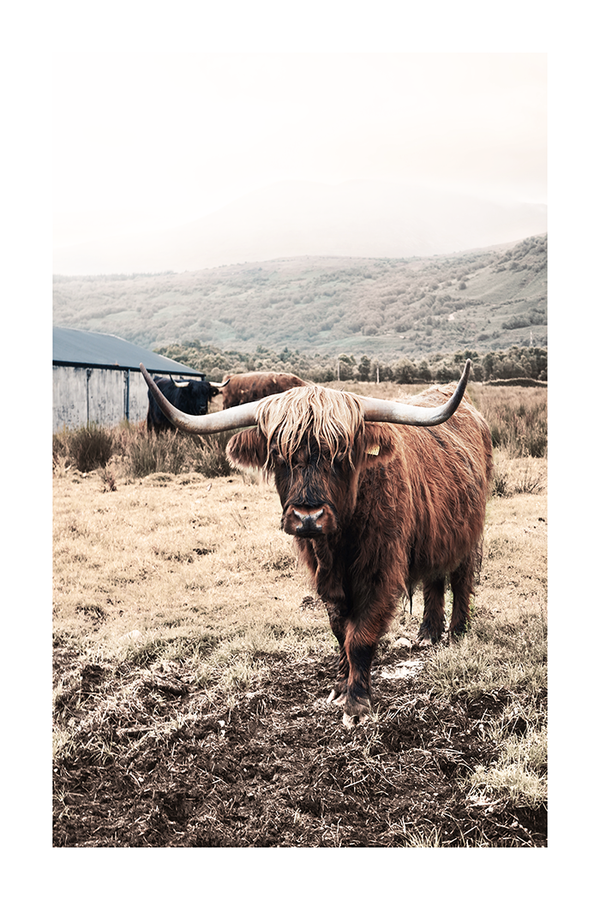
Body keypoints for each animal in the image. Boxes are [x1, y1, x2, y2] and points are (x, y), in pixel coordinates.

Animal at [141, 362, 492, 728]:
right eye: (278, 454)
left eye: (341, 454)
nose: (308, 517)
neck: (337, 544)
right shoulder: (326, 578)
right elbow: (339, 631)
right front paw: (339, 686)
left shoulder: (380, 572)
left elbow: (360, 636)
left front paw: (357, 703)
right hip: (438, 534)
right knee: (434, 579)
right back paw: (427, 633)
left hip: (469, 533)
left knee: (461, 579)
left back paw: (457, 633)